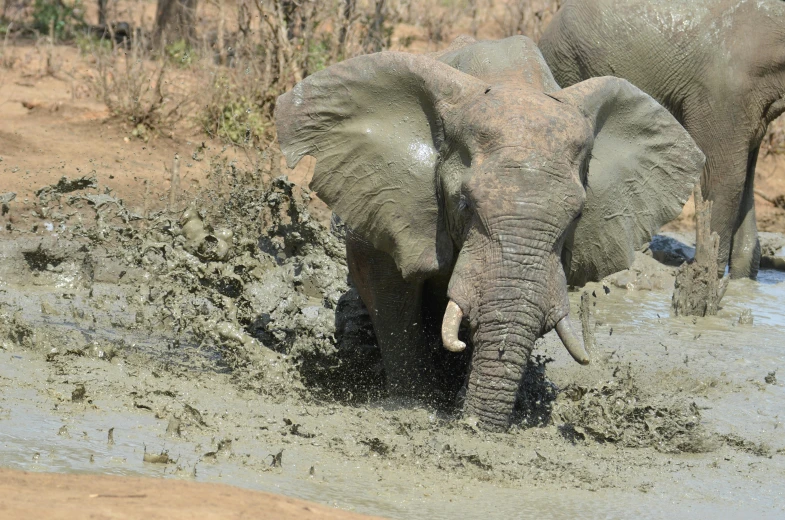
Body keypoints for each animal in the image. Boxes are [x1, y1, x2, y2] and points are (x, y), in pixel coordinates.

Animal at [274, 34, 704, 428]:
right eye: (464, 203)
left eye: (578, 215)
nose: (472, 426)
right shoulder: (387, 194)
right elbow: (387, 288)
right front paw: (412, 403)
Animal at [536, 0, 784, 280]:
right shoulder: (723, 89)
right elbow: (725, 178)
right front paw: (706, 272)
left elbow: (745, 176)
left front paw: (742, 280)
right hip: (569, 65)